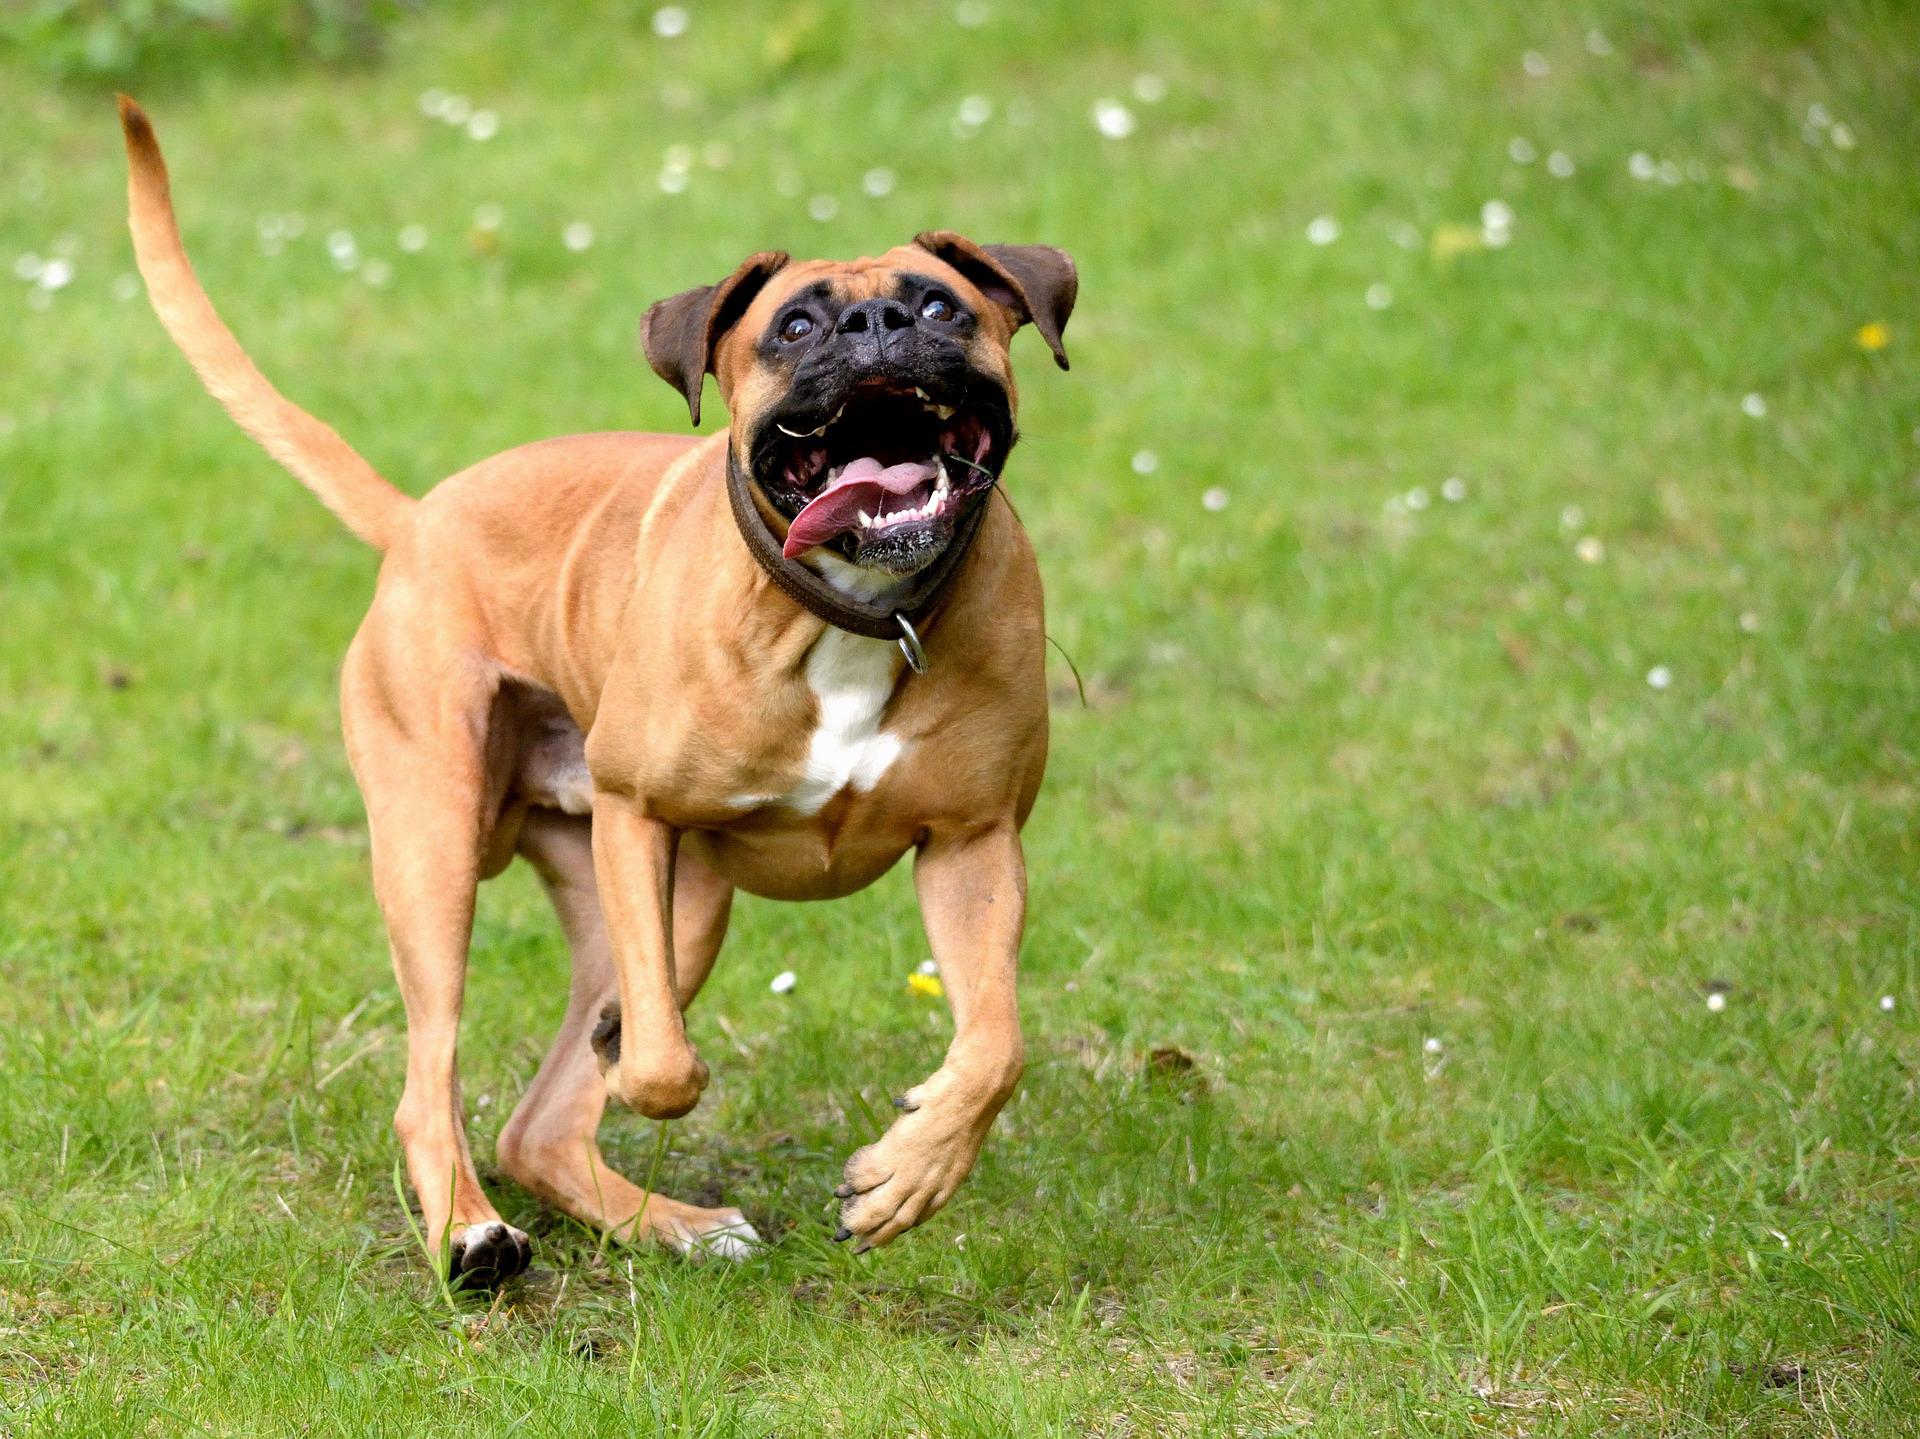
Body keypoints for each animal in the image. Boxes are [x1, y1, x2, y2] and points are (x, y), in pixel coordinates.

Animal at [118, 95, 1075, 1283]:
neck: (852, 607)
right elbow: (663, 1066)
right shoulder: (636, 814)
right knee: (433, 1084)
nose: (877, 326)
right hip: (439, 857)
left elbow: (995, 1044)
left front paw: (910, 1170)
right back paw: (472, 1232)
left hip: (685, 904)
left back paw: (671, 1222)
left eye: (942, 305)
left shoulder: (973, 844)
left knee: (542, 1125)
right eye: (795, 329)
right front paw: (650, 1062)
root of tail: (418, 518)